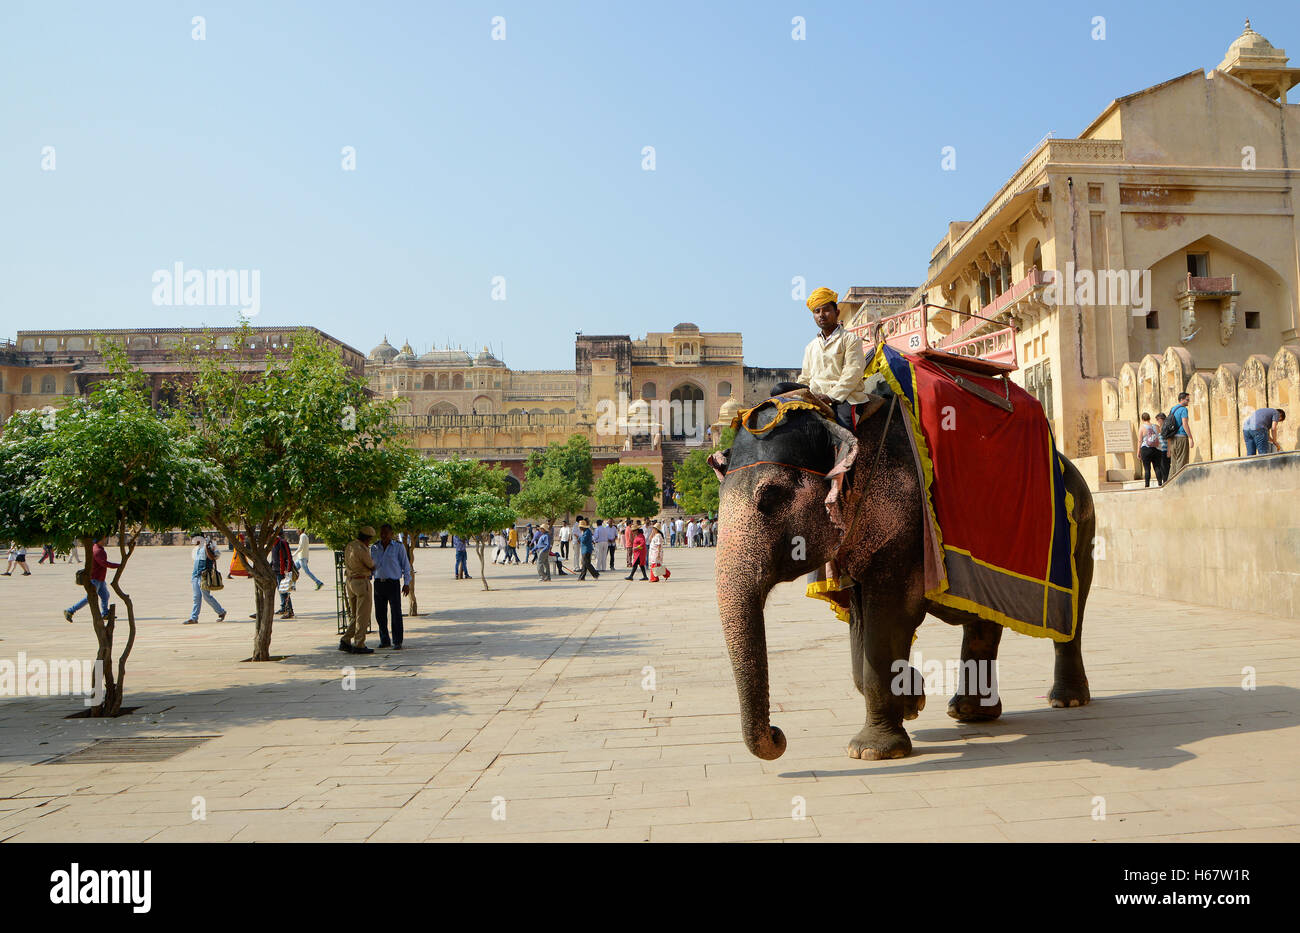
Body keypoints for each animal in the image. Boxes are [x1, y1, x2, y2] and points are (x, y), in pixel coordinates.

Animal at [710, 381, 1094, 761]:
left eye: (771, 496)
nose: (778, 735)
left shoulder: (904, 519)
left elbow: (889, 618)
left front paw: (872, 750)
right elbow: (860, 626)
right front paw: (912, 700)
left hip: (1081, 530)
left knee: (1072, 615)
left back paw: (1065, 700)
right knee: (983, 622)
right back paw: (971, 713)